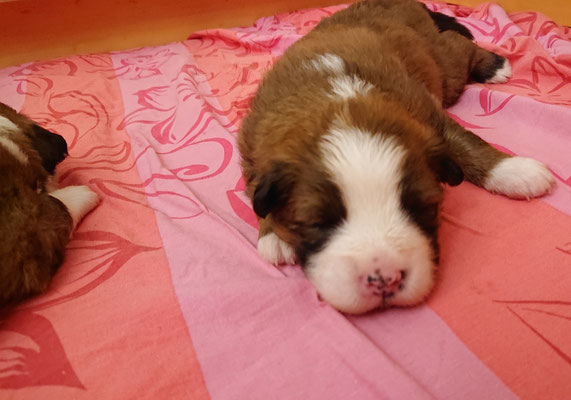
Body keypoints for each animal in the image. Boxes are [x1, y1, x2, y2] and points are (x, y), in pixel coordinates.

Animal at [238, 0, 556, 314]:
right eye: (318, 223)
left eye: (419, 208)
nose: (384, 279)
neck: (336, 98)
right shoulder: (251, 143)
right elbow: (255, 189)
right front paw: (273, 235)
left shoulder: (430, 117)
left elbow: (465, 141)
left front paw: (513, 170)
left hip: (444, 68)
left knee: (456, 45)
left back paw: (494, 66)